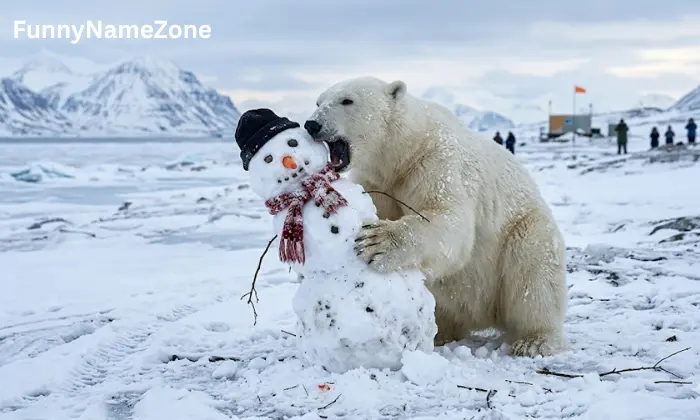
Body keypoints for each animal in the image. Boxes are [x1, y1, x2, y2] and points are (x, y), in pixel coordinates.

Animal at [303, 76, 568, 357]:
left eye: (347, 100)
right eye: (318, 101)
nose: (312, 124)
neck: (402, 152)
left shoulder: (435, 162)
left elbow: (448, 219)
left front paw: (377, 242)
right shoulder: (378, 181)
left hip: (524, 229)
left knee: (534, 275)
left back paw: (535, 340)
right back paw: (438, 331)